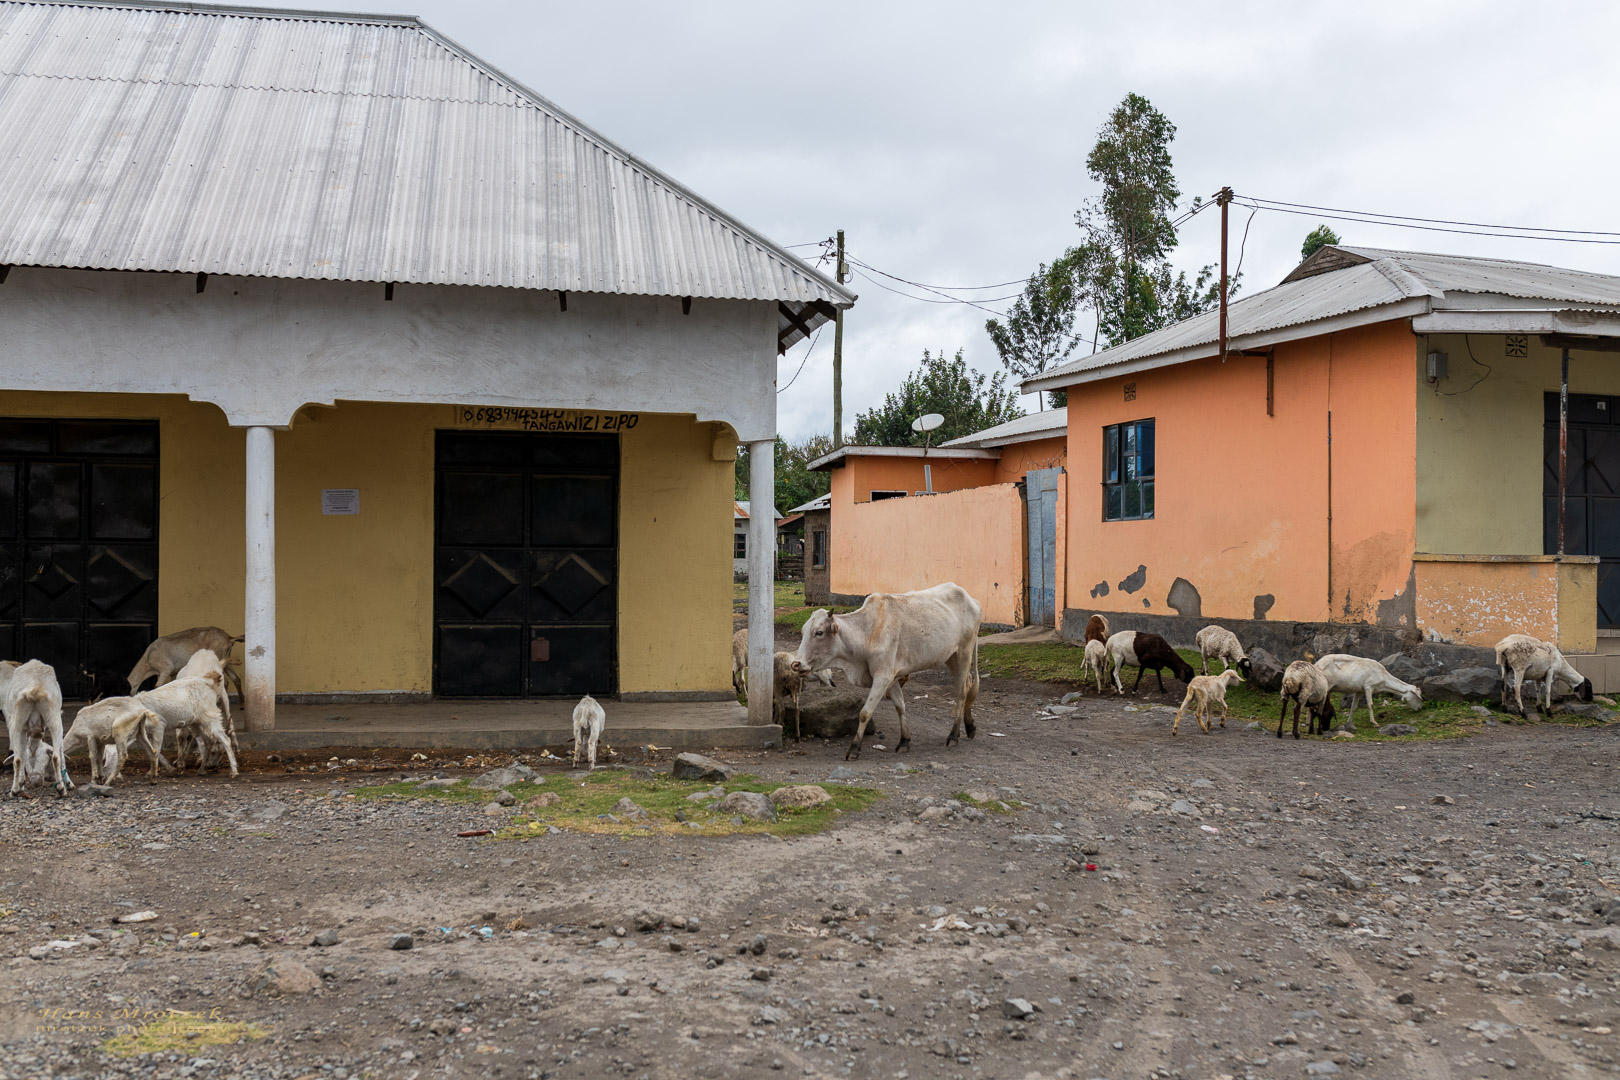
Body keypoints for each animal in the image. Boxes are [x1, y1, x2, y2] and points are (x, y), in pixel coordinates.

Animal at [3, 659, 69, 797]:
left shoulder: (23, 729)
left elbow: (22, 755)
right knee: (56, 756)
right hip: (55, 718)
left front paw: (21, 784)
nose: (36, 781)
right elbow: (61, 753)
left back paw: (15, 790)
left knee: (17, 759)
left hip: (16, 722)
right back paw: (61, 788)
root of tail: (34, 688)